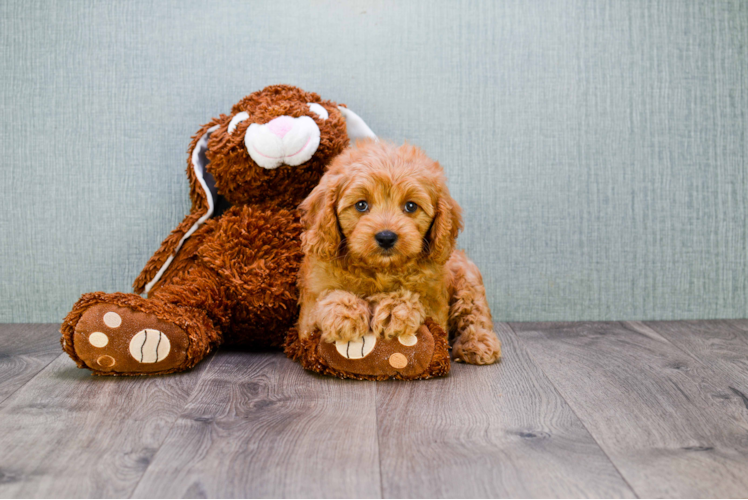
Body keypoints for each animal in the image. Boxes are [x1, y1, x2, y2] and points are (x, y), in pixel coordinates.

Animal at [296, 139, 500, 366]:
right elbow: (325, 300)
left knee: (474, 313)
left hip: (467, 279)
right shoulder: (308, 310)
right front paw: (345, 314)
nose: (386, 237)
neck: (379, 269)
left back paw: (477, 343)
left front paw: (393, 309)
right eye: (361, 205)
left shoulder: (435, 305)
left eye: (411, 206)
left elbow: (417, 300)